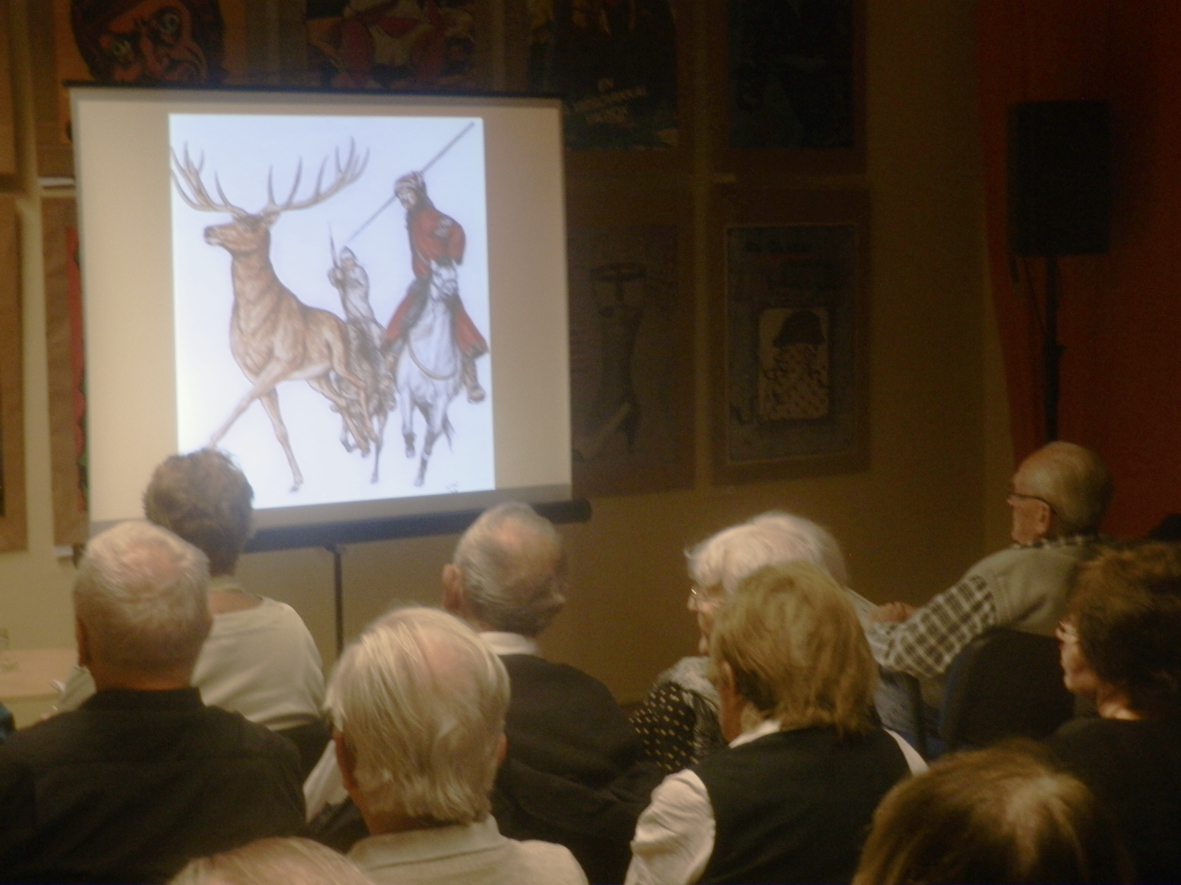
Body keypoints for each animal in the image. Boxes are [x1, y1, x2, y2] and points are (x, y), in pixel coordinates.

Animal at [172, 140, 375, 491]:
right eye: (228, 218)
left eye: (248, 224)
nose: (209, 230)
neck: (255, 323)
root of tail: (340, 321)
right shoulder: (254, 371)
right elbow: (278, 427)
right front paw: (296, 481)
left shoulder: (282, 360)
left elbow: (243, 402)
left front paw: (207, 445)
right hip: (316, 377)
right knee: (339, 398)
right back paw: (361, 444)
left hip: (338, 360)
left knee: (359, 385)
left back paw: (371, 439)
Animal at [395, 265, 463, 486]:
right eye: (438, 275)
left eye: (455, 275)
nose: (452, 292)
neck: (432, 355)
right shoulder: (406, 393)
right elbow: (407, 428)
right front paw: (409, 449)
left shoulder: (440, 401)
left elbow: (431, 436)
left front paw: (419, 476)